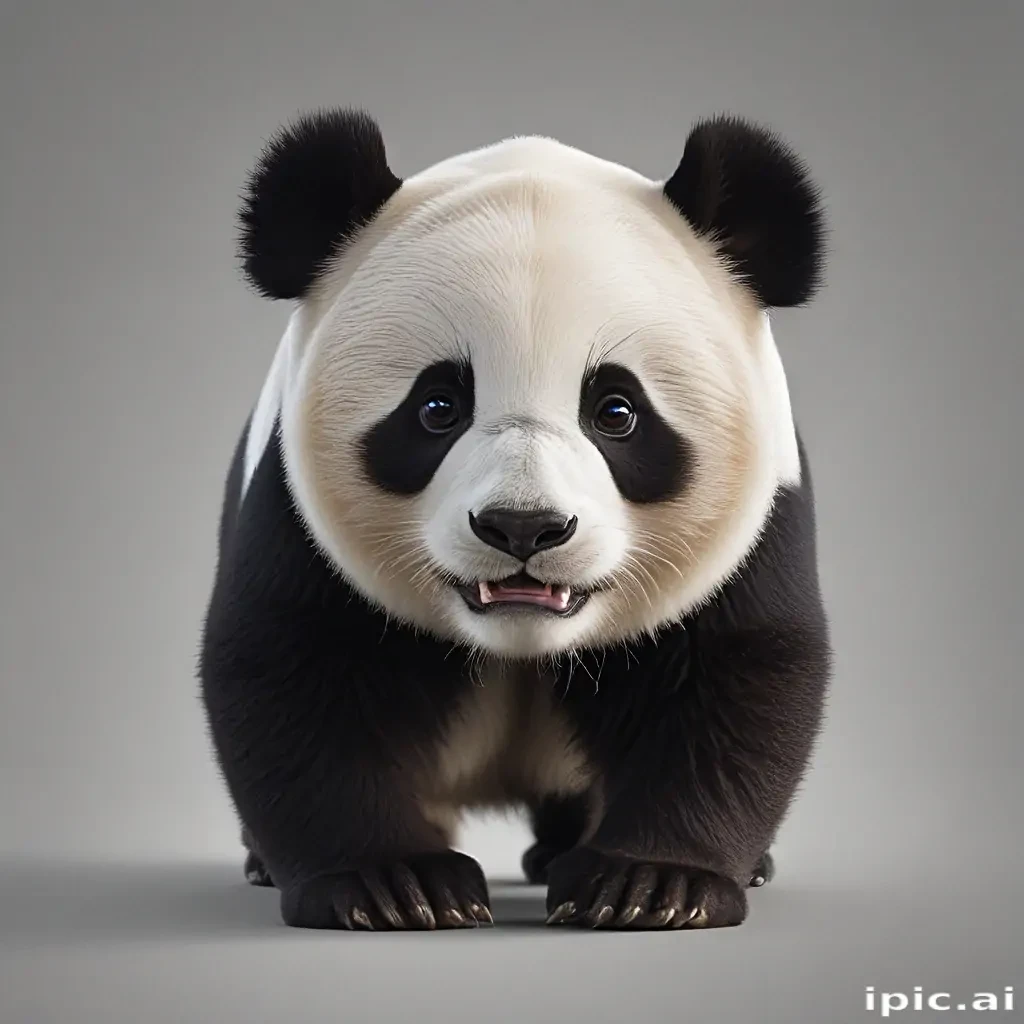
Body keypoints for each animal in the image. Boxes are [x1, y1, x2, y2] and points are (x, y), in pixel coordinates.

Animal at [199, 108, 831, 932]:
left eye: (616, 411)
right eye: (437, 405)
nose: (522, 528)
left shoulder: (760, 522)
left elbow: (737, 679)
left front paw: (651, 886)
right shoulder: (292, 513)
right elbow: (292, 668)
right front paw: (395, 885)